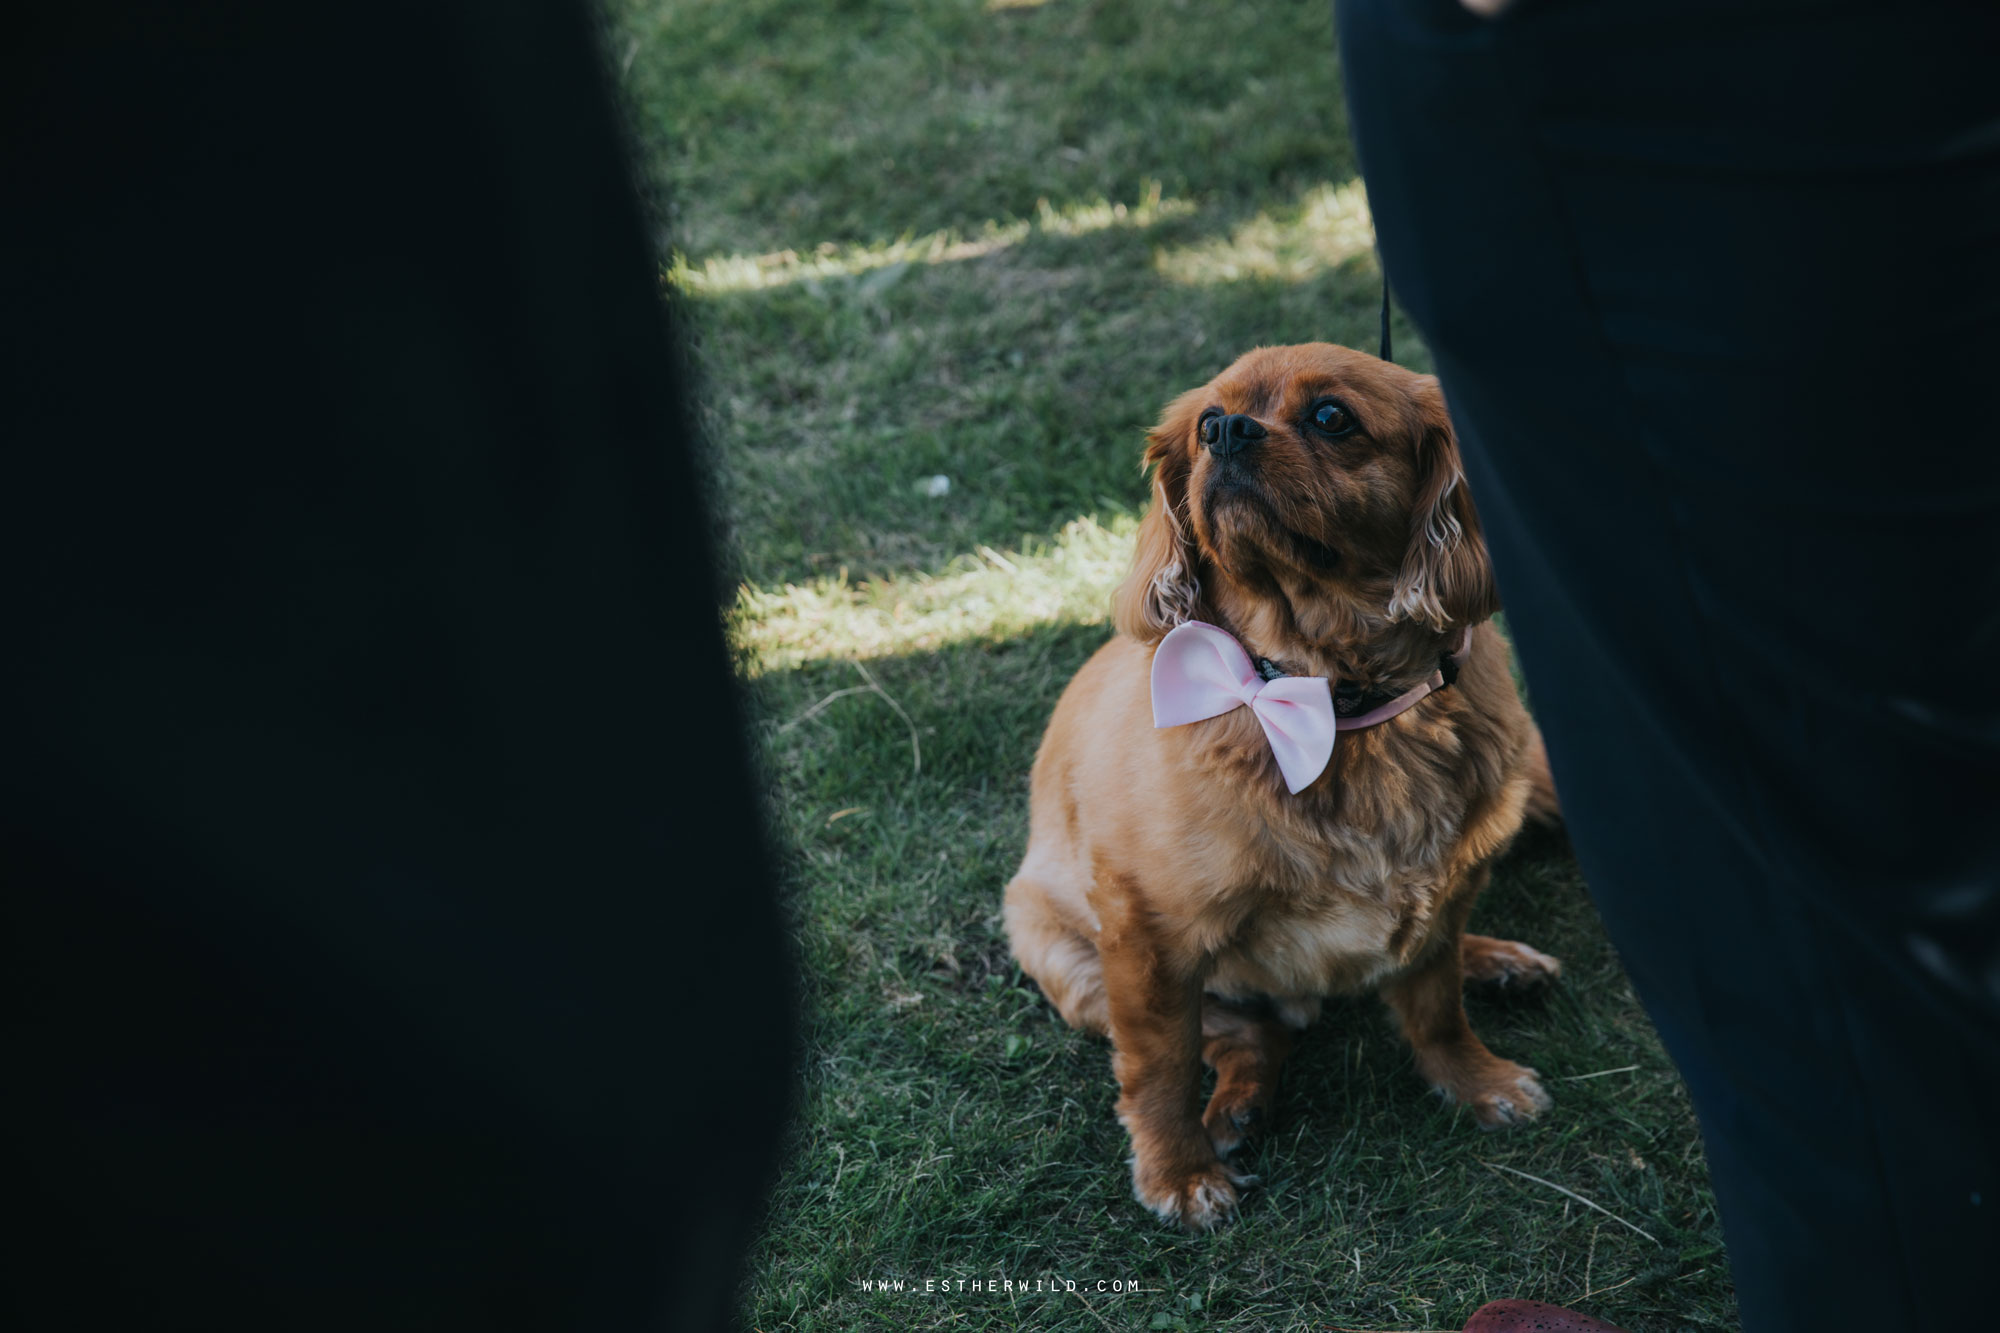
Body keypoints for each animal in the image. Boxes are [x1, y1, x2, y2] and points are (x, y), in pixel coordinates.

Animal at [1000, 340, 1560, 1224]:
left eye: (1332, 416)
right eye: (1204, 422)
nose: (1227, 431)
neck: (1328, 697)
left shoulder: (1446, 890)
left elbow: (1437, 1008)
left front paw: (1477, 1081)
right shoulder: (1150, 936)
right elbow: (1159, 1068)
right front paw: (1178, 1171)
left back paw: (1497, 959)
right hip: (1066, 958)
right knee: (1250, 1035)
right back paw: (1235, 1110)